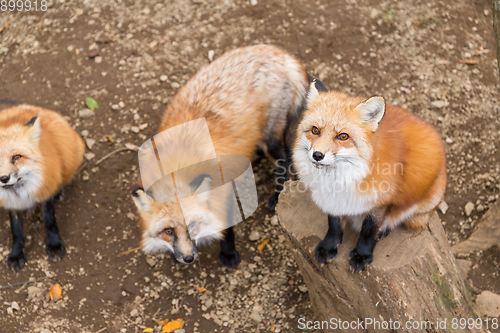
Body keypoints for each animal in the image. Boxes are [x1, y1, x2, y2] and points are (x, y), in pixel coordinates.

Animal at [0, 101, 84, 270]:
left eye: (17, 157)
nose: (3, 178)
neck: (19, 192)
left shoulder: (45, 191)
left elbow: (50, 221)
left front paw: (54, 244)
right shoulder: (11, 204)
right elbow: (16, 230)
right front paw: (16, 254)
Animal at [130, 44, 308, 268]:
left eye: (193, 225)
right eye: (168, 231)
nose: (188, 259)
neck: (177, 166)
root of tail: (277, 52)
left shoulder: (224, 187)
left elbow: (226, 224)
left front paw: (228, 251)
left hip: (271, 139)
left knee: (288, 159)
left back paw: (277, 195)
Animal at [292, 80, 448, 270]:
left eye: (342, 136)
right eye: (315, 130)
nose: (317, 155)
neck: (339, 180)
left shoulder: (379, 201)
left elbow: (368, 230)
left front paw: (362, 255)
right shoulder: (333, 200)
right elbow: (334, 224)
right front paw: (329, 247)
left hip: (424, 206)